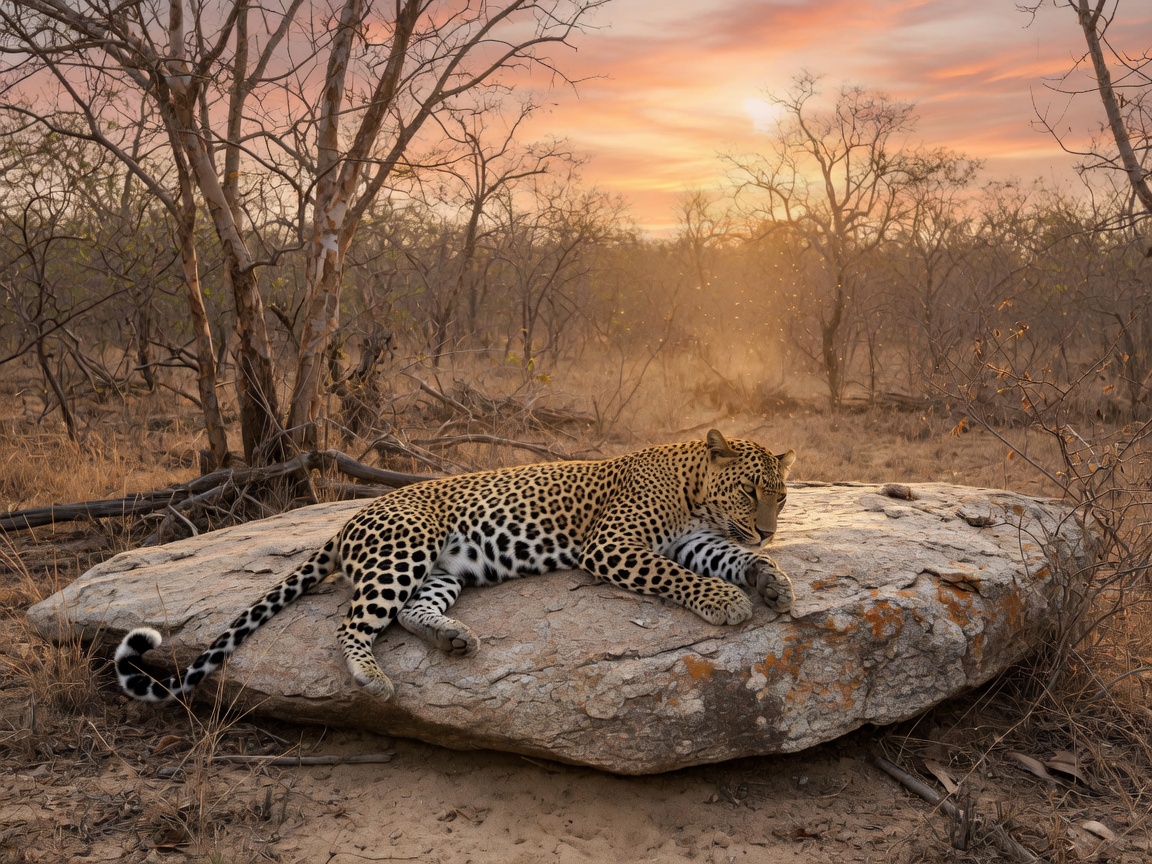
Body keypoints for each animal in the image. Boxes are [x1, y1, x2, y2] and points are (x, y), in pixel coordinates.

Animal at [116, 429, 796, 703]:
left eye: (781, 497)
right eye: (749, 491)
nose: (772, 527)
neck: (696, 492)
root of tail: (346, 520)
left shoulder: (695, 539)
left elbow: (732, 556)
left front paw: (771, 581)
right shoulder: (613, 544)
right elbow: (680, 576)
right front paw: (727, 600)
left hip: (441, 570)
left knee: (407, 614)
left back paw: (454, 639)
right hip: (406, 547)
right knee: (351, 624)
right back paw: (374, 680)